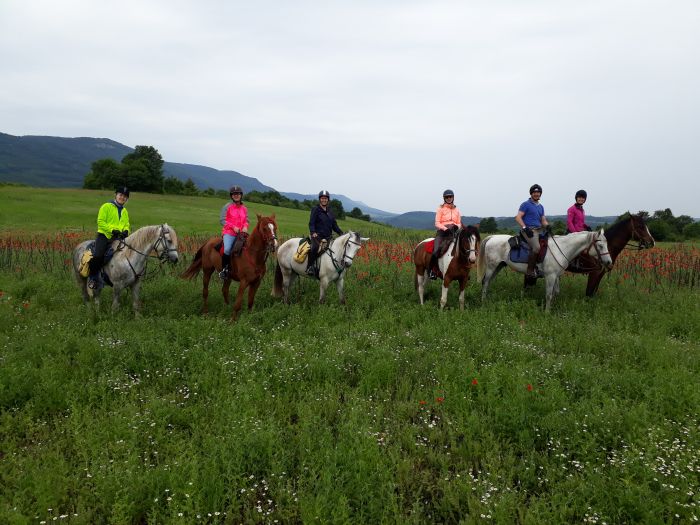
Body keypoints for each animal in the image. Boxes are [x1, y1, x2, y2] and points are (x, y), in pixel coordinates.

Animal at [476, 230, 612, 312]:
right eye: (600, 246)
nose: (609, 262)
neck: (561, 248)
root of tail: (492, 237)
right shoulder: (550, 276)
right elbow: (548, 294)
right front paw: (547, 312)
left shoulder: (556, 276)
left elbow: (555, 293)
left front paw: (552, 307)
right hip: (491, 267)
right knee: (485, 282)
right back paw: (483, 302)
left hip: (498, 266)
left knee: (488, 282)